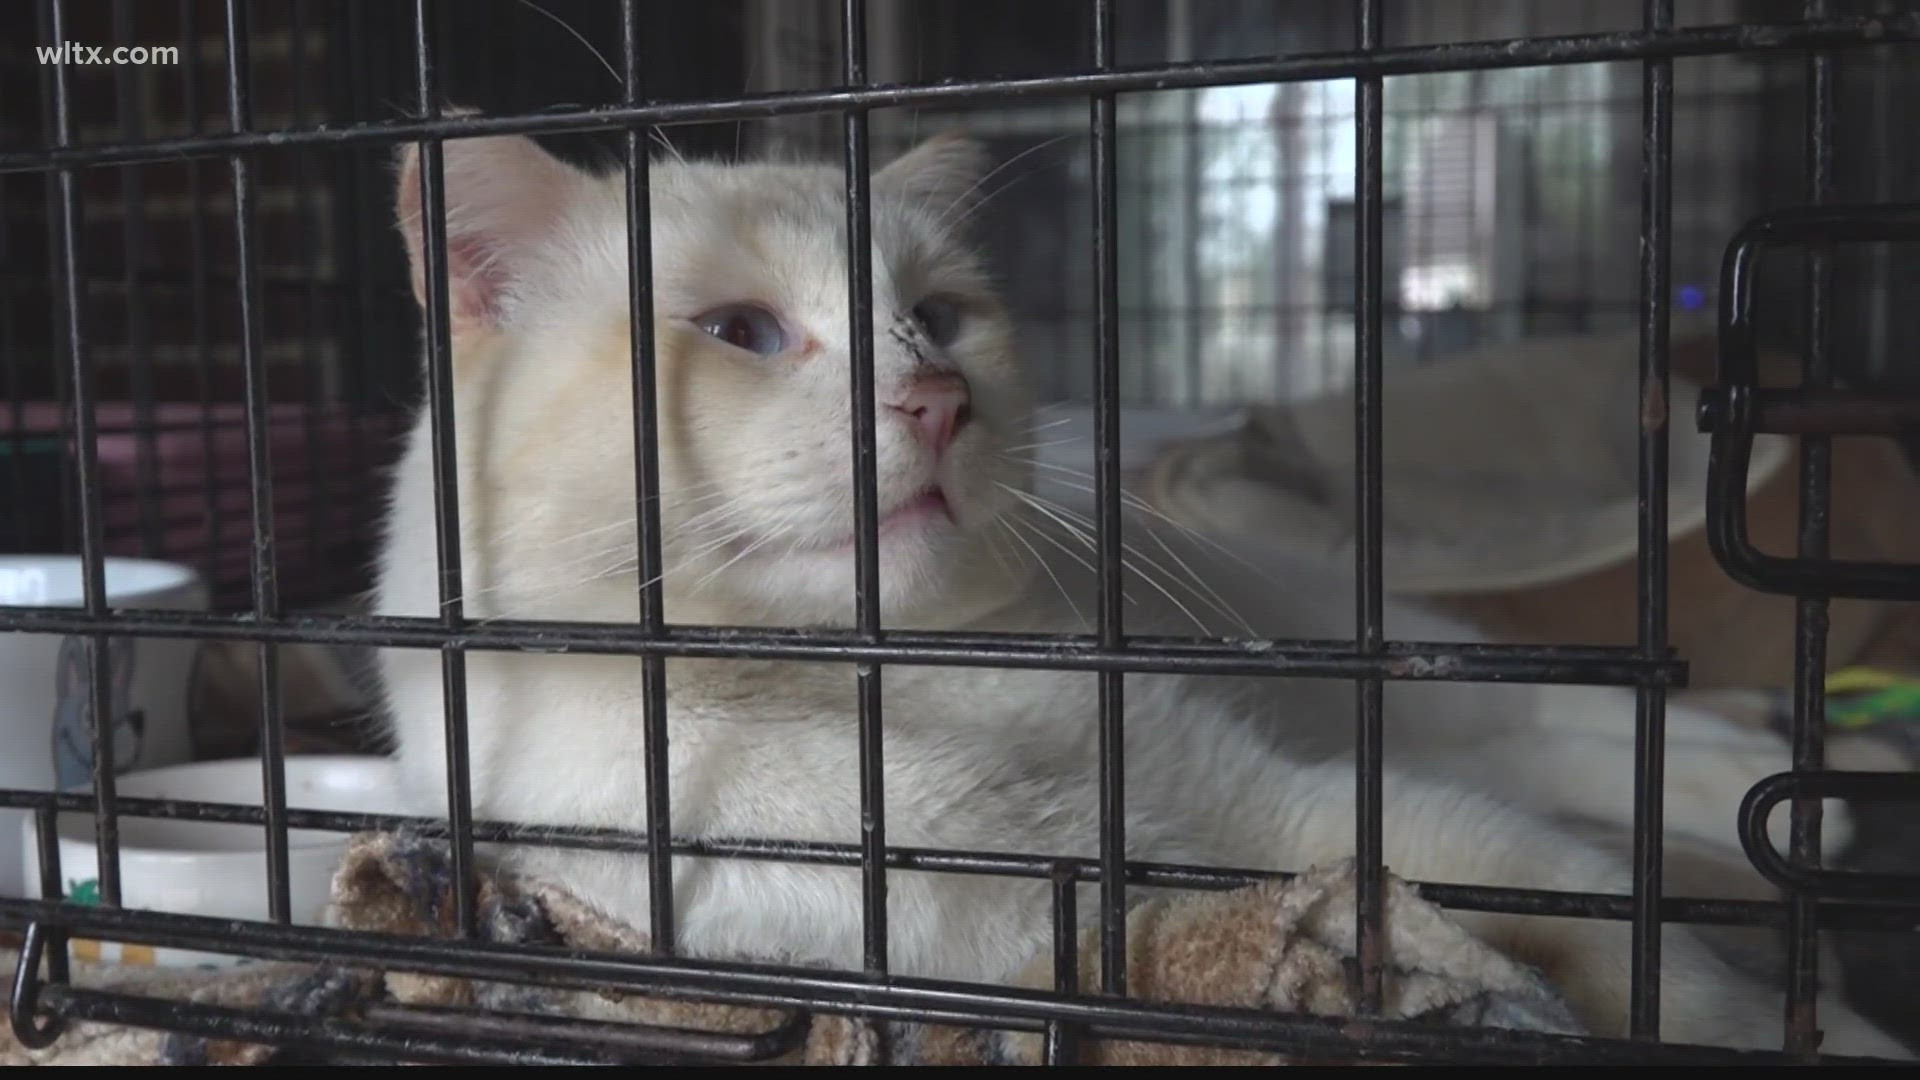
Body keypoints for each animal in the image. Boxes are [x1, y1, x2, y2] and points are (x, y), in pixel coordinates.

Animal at [370, 130, 1904, 1053]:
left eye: (937, 319)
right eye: (740, 333)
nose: (938, 398)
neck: (888, 686)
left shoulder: (1289, 808)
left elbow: (1656, 961)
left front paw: (1825, 1033)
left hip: (1366, 677)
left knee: (1570, 730)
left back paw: (1807, 786)